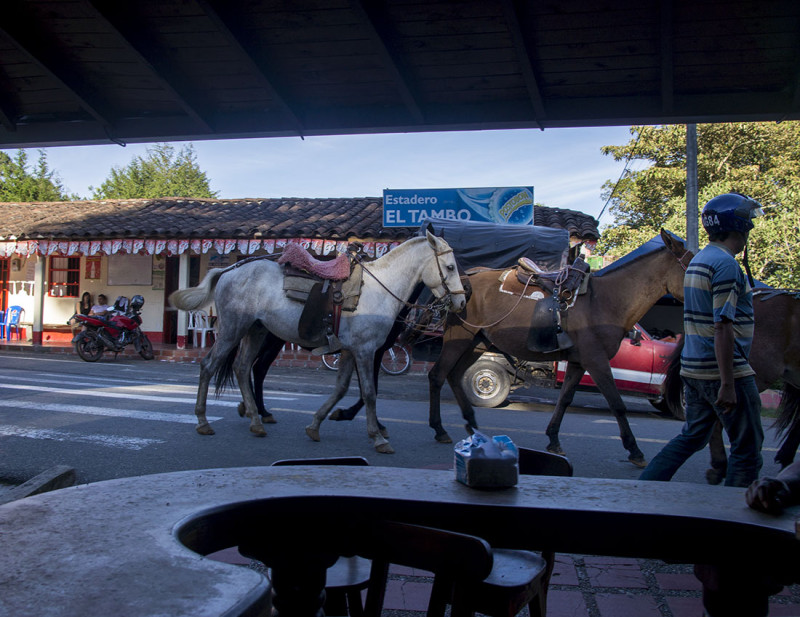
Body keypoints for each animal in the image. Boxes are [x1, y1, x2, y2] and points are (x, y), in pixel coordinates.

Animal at [172, 231, 466, 452]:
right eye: (450, 267)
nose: (462, 302)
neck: (378, 290)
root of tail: (229, 270)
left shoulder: (349, 351)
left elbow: (341, 389)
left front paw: (316, 424)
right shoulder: (365, 351)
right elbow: (369, 393)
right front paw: (378, 437)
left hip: (255, 331)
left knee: (243, 368)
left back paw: (256, 419)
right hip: (233, 330)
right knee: (209, 366)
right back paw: (203, 420)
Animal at [428, 229, 692, 464]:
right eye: (691, 265)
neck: (606, 301)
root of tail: (463, 282)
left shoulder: (578, 362)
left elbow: (565, 399)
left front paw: (554, 439)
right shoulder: (596, 360)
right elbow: (616, 403)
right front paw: (634, 450)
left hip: (477, 343)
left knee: (454, 375)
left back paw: (472, 427)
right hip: (459, 337)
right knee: (438, 375)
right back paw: (440, 429)